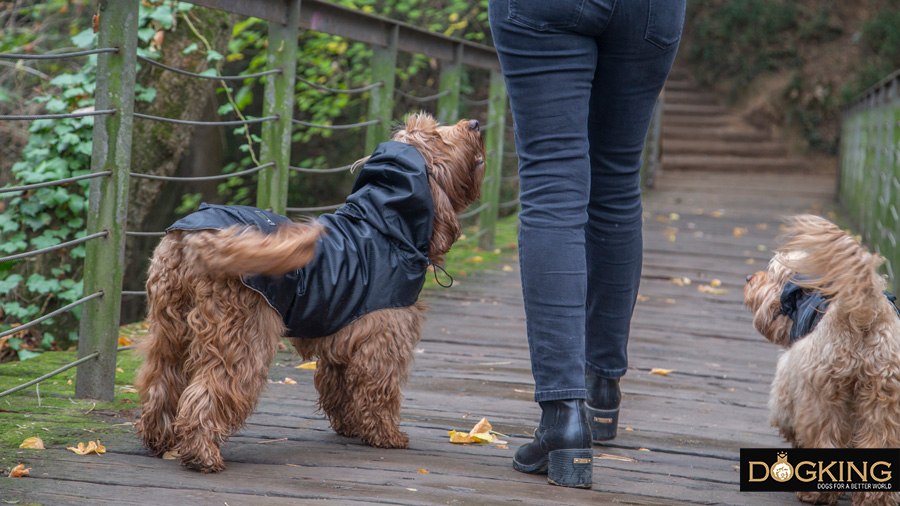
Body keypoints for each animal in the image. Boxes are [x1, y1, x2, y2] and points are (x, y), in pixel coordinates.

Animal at [134, 112, 486, 472]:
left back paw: (159, 439)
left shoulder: (342, 333)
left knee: (161, 382)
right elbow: (379, 391)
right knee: (210, 389)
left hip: (171, 327)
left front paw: (349, 425)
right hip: (242, 335)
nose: (474, 123)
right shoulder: (384, 339)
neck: (384, 226)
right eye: (437, 136)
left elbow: (338, 386)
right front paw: (386, 434)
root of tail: (197, 234)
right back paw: (201, 453)